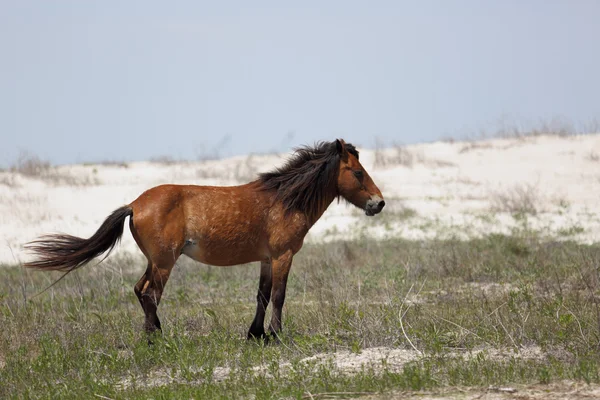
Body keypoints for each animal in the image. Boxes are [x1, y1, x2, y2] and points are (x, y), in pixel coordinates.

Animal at [23, 140, 384, 340]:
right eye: (358, 172)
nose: (378, 203)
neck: (283, 200)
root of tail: (135, 204)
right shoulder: (283, 255)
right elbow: (280, 296)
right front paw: (277, 335)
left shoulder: (267, 259)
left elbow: (262, 296)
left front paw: (256, 335)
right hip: (165, 263)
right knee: (150, 294)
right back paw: (157, 340)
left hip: (155, 261)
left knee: (140, 291)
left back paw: (153, 335)